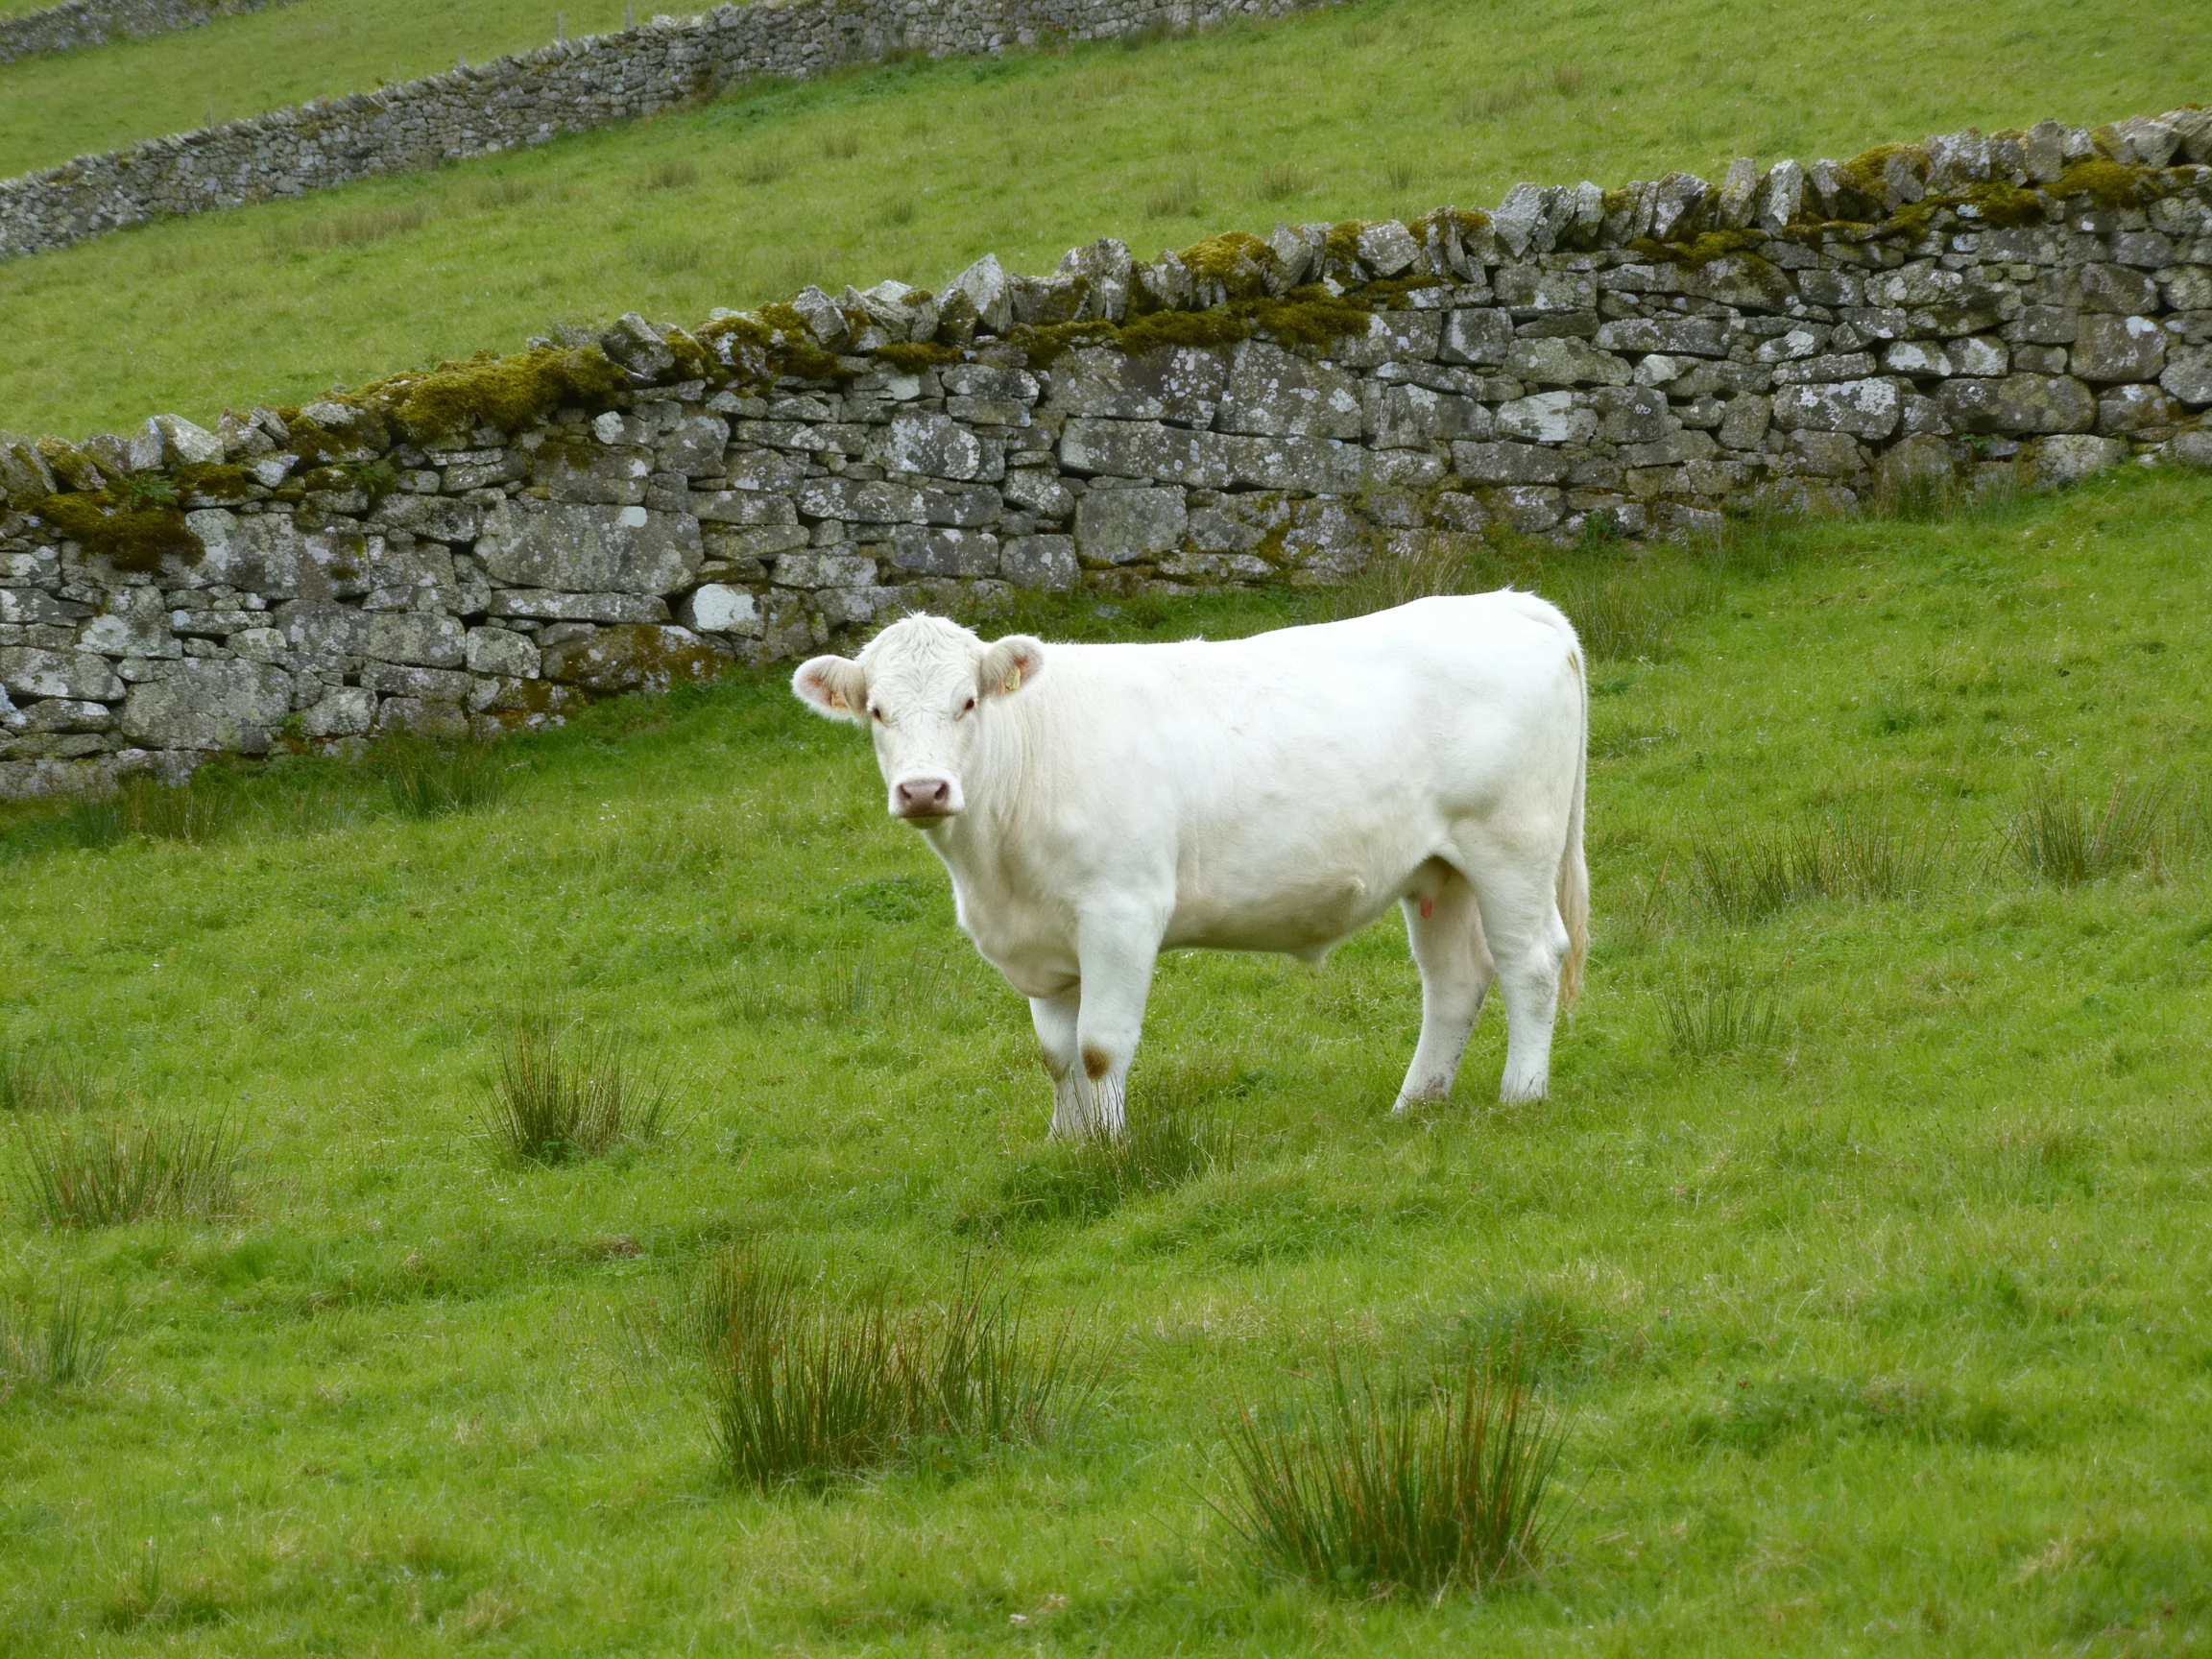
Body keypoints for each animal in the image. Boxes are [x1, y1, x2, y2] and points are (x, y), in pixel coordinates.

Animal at [791, 594, 1588, 1138]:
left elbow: (1099, 1048)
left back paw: (1522, 1095)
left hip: (1510, 842)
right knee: (1454, 980)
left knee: (1530, 960)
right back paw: (1412, 1105)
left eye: (967, 702)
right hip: (1437, 871)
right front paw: (1066, 1144)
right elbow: (1055, 1055)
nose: (923, 789)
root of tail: (1512, 602)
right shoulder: (1042, 940)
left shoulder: (1121, 910)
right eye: (877, 711)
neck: (994, 872)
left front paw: (1110, 1151)